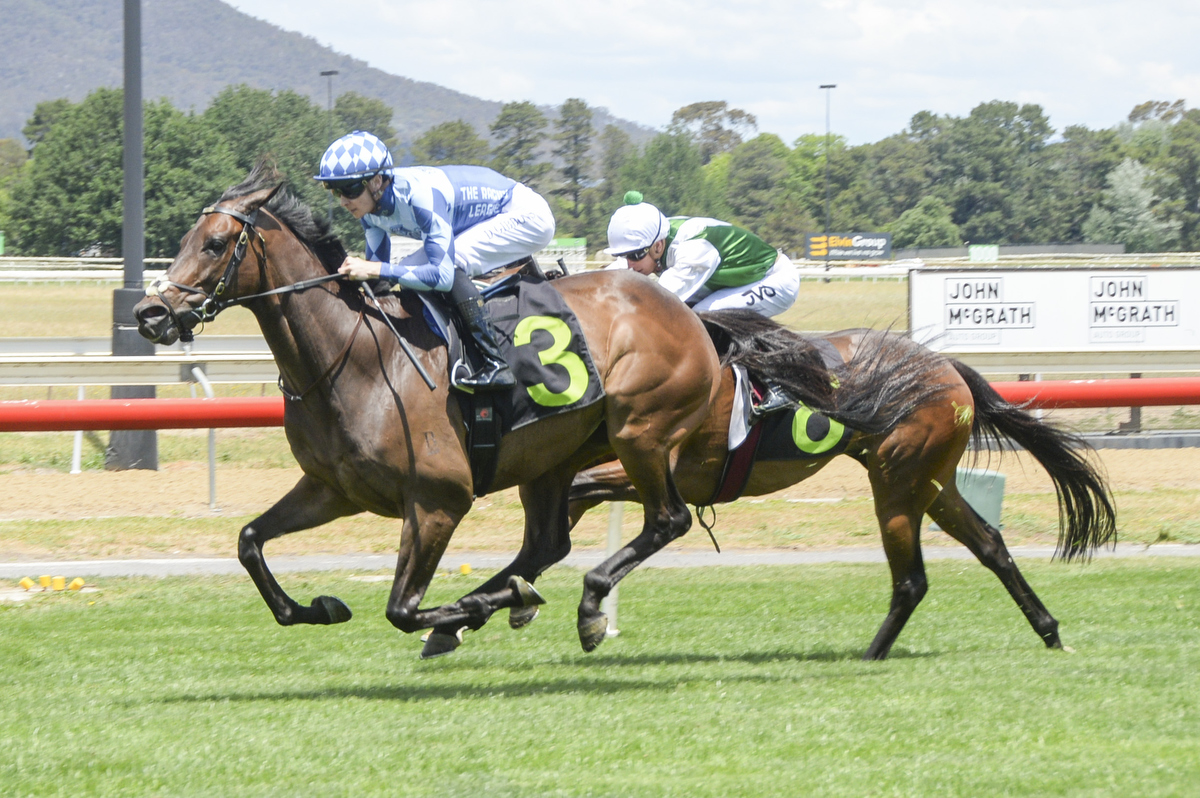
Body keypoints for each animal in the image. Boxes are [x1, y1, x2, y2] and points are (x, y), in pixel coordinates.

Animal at [132, 164, 722, 655]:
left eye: (214, 244)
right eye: (182, 241)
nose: (149, 313)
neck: (357, 359)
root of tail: (682, 310)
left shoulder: (439, 501)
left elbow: (401, 609)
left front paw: (473, 608)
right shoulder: (332, 489)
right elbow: (249, 542)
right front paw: (321, 607)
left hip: (639, 432)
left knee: (667, 519)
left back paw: (578, 603)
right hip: (553, 456)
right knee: (546, 544)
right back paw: (513, 602)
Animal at [564, 313, 1117, 660]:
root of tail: (946, 365)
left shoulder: (664, 468)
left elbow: (585, 496)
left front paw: (588, 608)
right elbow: (569, 498)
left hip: (898, 482)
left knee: (912, 581)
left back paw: (869, 656)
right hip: (934, 482)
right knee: (991, 545)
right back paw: (1049, 631)